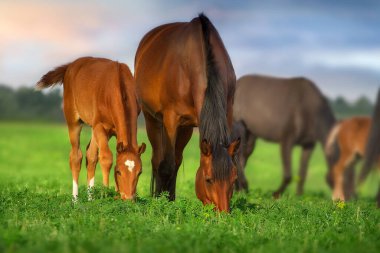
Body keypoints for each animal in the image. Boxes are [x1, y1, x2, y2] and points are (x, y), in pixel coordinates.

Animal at [36, 56, 145, 201]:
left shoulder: (113, 131)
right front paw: (105, 195)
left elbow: (100, 156)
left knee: (91, 155)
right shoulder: (100, 126)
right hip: (74, 121)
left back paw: (91, 199)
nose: (128, 198)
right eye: (118, 171)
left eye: (140, 172)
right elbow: (106, 157)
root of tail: (70, 66)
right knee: (76, 156)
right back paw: (75, 200)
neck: (116, 86)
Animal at [135, 13, 239, 211]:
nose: (223, 213)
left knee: (176, 160)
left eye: (233, 180)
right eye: (208, 179)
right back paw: (160, 197)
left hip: (186, 128)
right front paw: (163, 203)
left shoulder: (227, 113)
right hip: (152, 119)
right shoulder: (171, 119)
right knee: (158, 160)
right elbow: (165, 165)